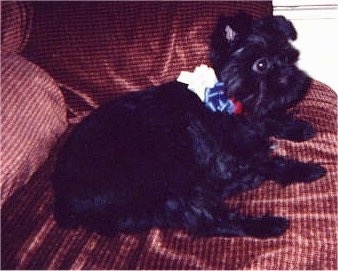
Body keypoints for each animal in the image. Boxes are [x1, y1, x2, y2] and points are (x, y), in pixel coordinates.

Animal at [51, 12, 326, 239]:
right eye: (261, 64)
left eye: (289, 57)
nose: (298, 82)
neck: (226, 99)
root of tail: (64, 205)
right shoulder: (234, 152)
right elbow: (268, 161)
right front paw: (304, 169)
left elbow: (267, 121)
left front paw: (296, 128)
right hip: (166, 171)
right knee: (207, 221)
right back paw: (265, 224)